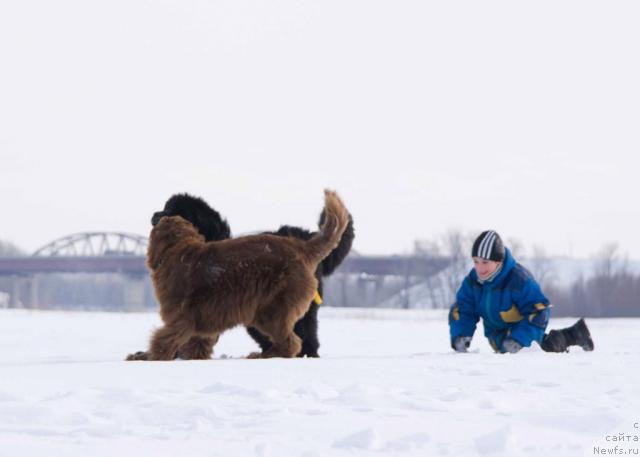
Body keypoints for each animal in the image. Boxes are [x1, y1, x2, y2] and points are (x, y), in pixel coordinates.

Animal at [125, 189, 350, 360]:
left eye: (172, 210)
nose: (155, 214)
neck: (182, 251)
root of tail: (303, 247)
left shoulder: (180, 316)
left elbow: (165, 339)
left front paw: (151, 356)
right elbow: (196, 342)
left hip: (271, 311)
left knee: (293, 342)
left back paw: (265, 356)